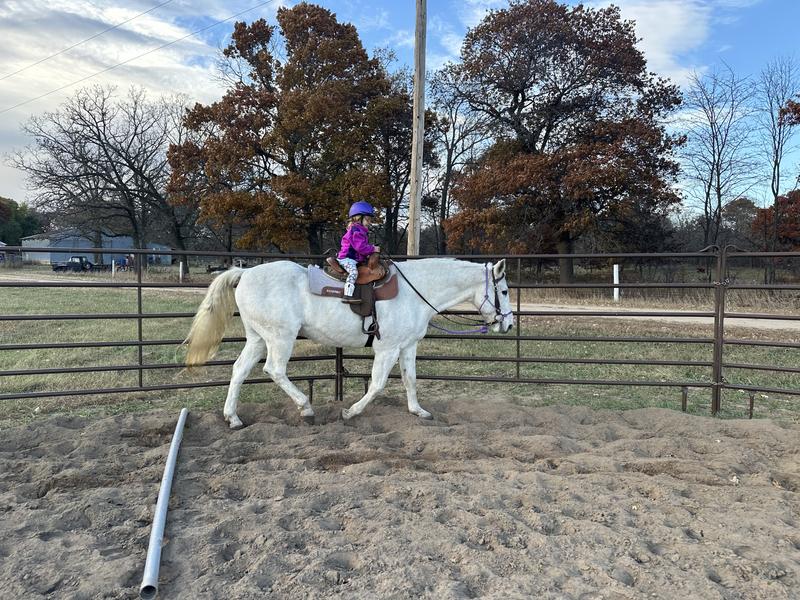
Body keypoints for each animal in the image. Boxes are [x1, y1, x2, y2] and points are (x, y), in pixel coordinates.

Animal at [183, 258, 514, 428]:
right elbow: (377, 384)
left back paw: (233, 417)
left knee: (239, 370)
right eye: (505, 291)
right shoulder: (387, 349)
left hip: (257, 338)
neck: (415, 292)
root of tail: (246, 272)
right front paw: (350, 412)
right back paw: (305, 408)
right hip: (280, 338)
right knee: (274, 370)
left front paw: (418, 412)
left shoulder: (407, 347)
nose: (509, 323)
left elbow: (410, 380)